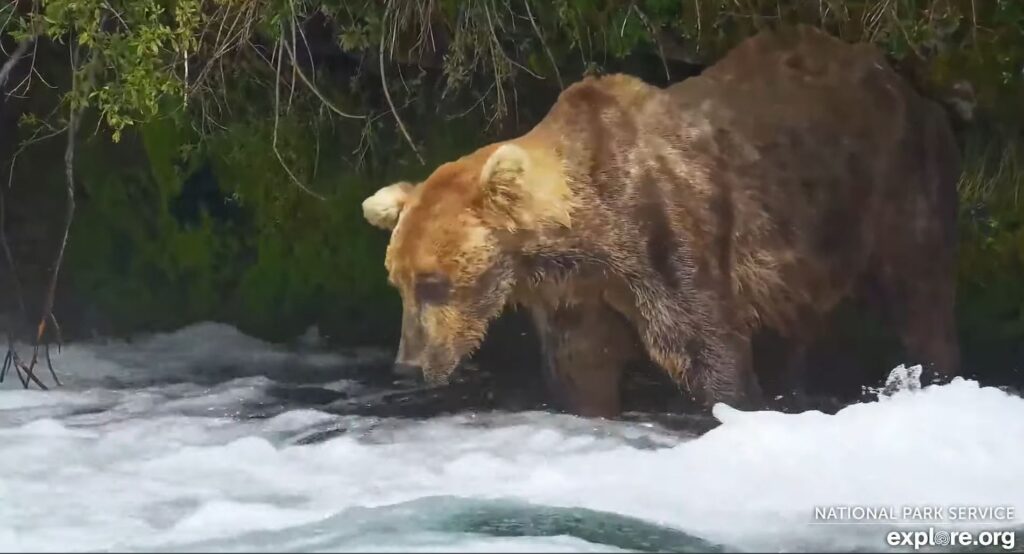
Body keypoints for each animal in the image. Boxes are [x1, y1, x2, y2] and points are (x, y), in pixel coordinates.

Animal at [364, 24, 962, 413]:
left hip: (892, 185)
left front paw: (735, 404)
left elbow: (706, 348)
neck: (590, 232)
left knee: (920, 295)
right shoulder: (575, 290)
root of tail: (906, 86)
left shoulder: (670, 236)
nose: (407, 366)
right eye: (398, 282)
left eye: (434, 282)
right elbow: (583, 368)